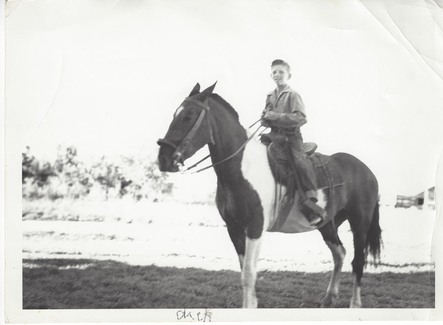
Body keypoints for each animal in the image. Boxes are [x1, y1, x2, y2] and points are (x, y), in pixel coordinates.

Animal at [157, 82, 382, 308]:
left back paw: (355, 304)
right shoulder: (234, 229)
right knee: (339, 254)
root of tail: (367, 171)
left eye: (188, 116)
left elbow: (249, 274)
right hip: (327, 224)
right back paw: (329, 298)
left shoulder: (255, 228)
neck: (242, 170)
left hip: (360, 223)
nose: (163, 159)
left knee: (358, 261)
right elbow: (244, 272)